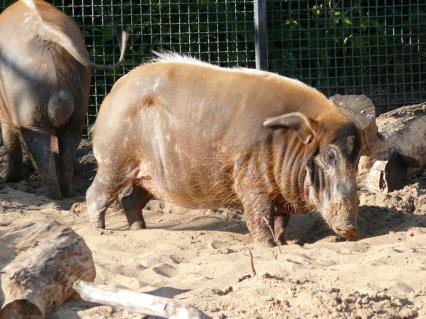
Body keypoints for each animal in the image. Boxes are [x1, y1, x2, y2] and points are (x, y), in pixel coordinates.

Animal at [0, 0, 126, 199]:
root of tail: (48, 32)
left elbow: (10, 141)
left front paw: (9, 180)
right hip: (79, 102)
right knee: (68, 146)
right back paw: (66, 193)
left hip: (29, 111)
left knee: (41, 150)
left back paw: (52, 196)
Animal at [88, 53, 362, 246]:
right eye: (329, 155)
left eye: (357, 158)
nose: (352, 230)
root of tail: (112, 93)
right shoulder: (251, 181)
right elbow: (260, 217)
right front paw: (270, 246)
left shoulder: (280, 193)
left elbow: (281, 221)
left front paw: (284, 244)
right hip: (113, 160)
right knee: (96, 195)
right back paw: (99, 231)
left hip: (148, 177)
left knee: (130, 199)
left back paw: (140, 230)